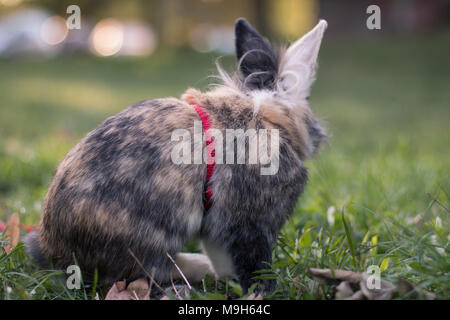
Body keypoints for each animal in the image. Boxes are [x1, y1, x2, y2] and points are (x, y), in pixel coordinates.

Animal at [23, 17, 326, 296]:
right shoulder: (252, 225)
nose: (319, 135)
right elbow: (256, 267)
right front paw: (261, 292)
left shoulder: (217, 225)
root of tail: (53, 251)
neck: (265, 113)